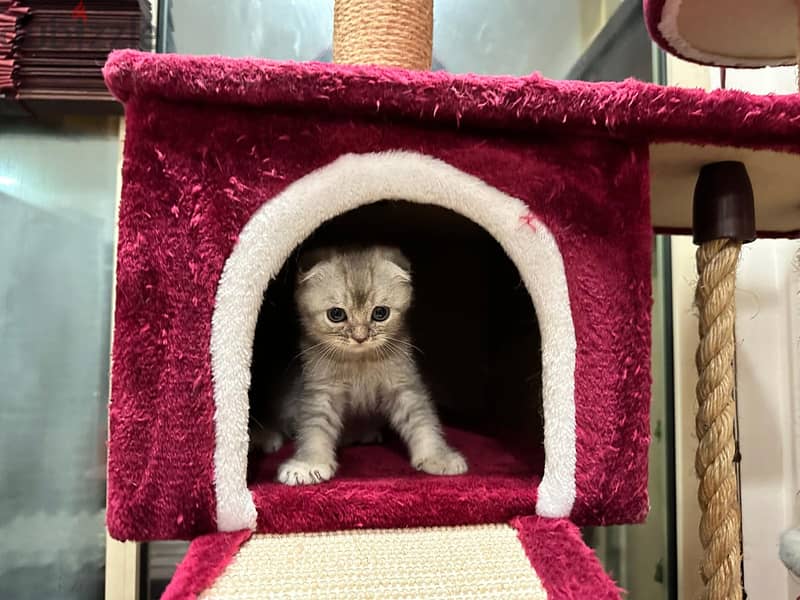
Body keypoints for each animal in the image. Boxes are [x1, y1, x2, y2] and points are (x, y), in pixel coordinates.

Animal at [255, 246, 468, 486]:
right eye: (336, 314)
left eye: (380, 313)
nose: (360, 337)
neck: (359, 361)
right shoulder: (320, 389)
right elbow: (314, 426)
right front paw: (309, 464)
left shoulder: (403, 383)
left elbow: (421, 419)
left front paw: (438, 457)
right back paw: (265, 437)